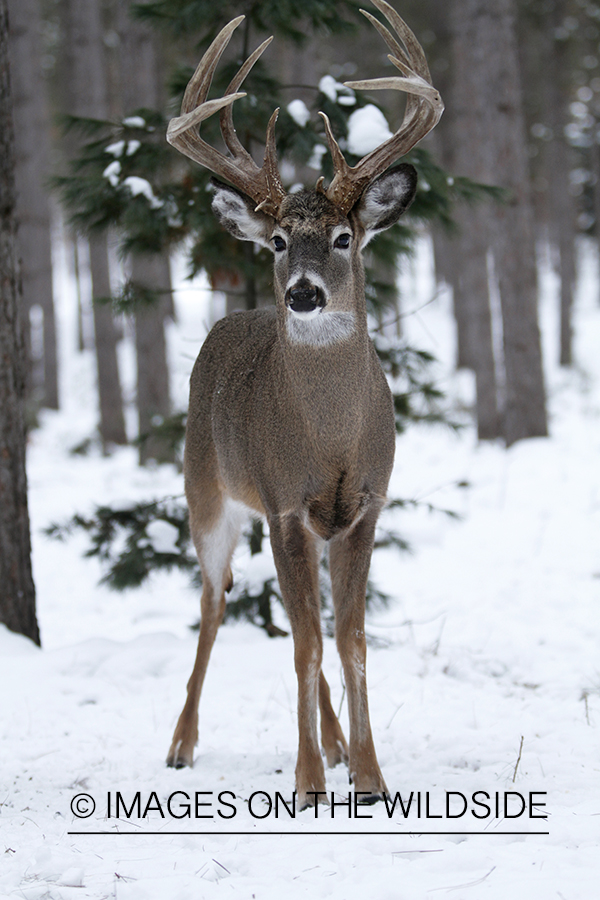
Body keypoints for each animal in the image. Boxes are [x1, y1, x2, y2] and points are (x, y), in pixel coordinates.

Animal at [163, 0, 440, 808]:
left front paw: (370, 777)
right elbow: (306, 642)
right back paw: (182, 743)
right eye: (281, 240)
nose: (304, 294)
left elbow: (348, 639)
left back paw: (341, 744)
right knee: (215, 600)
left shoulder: (364, 504)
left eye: (346, 236)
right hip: (208, 490)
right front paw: (310, 781)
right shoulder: (285, 501)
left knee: (298, 620)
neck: (331, 440)